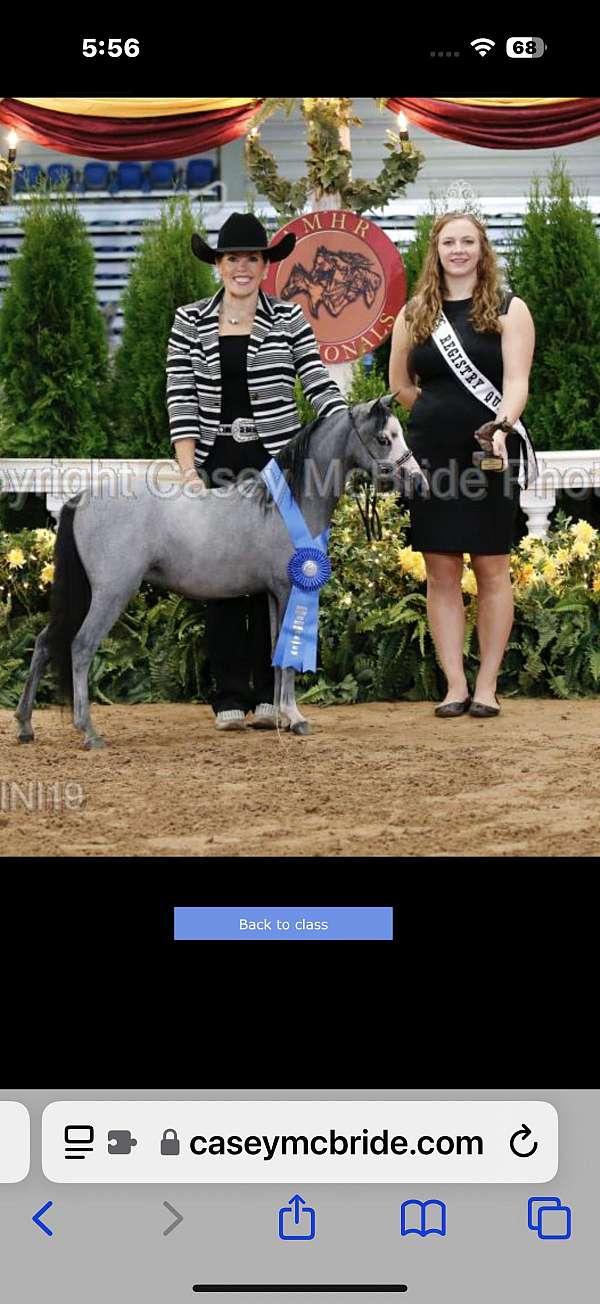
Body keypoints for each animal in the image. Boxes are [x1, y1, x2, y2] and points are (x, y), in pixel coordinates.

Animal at [15, 391, 427, 751]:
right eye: (384, 438)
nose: (418, 481)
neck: (282, 503)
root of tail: (81, 498)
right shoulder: (288, 589)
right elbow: (287, 659)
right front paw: (296, 718)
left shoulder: (274, 594)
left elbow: (276, 654)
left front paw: (279, 716)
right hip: (110, 593)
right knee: (80, 647)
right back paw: (88, 731)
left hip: (84, 594)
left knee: (45, 642)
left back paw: (24, 726)